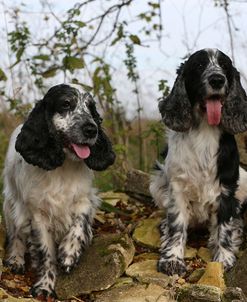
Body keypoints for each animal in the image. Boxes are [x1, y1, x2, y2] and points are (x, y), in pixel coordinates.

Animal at [3, 84, 115, 298]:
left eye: (90, 108)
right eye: (66, 104)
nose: (92, 129)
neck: (63, 167)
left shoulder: (85, 198)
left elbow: (80, 222)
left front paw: (69, 253)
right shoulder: (38, 214)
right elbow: (46, 253)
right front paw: (44, 286)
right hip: (12, 203)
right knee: (16, 234)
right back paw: (16, 260)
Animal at [150, 49, 247, 276]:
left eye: (224, 65)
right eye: (199, 65)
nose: (217, 79)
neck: (204, 129)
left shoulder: (226, 188)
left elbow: (224, 225)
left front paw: (223, 258)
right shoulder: (176, 187)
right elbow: (177, 225)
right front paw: (172, 259)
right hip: (157, 181)